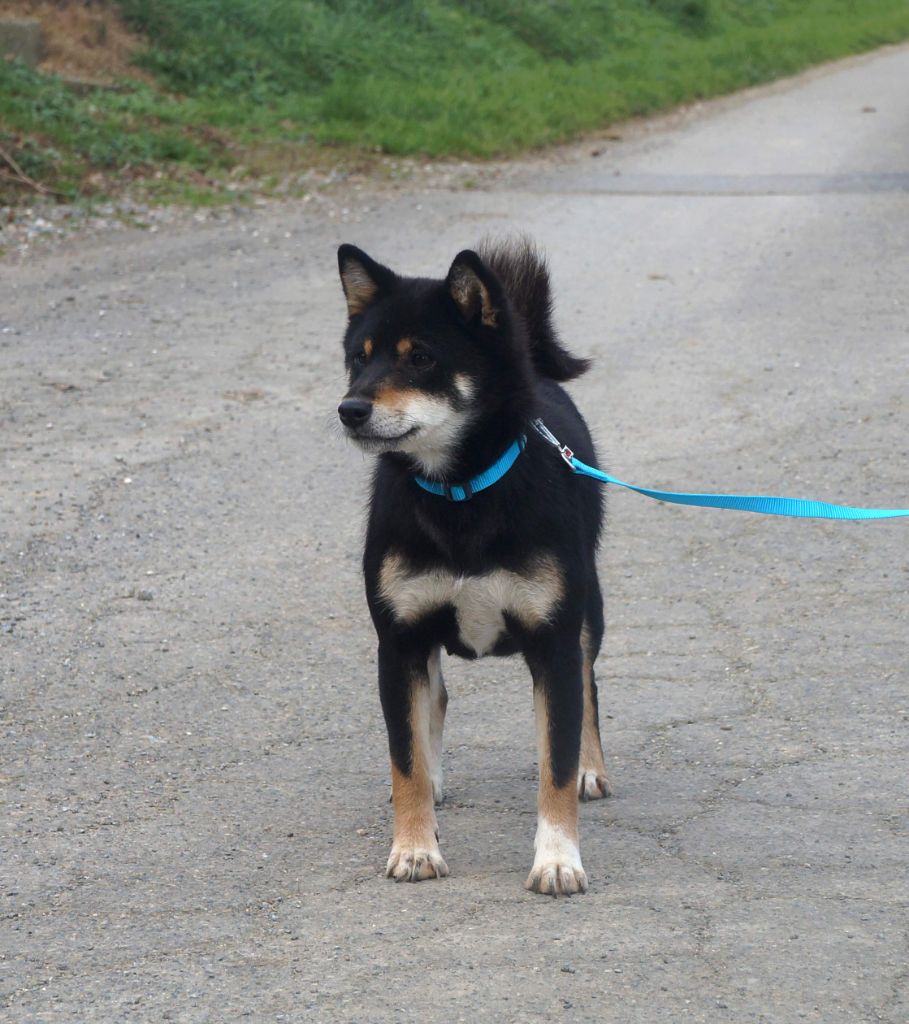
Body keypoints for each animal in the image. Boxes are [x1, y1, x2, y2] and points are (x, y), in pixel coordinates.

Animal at [335, 239, 610, 897]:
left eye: (422, 357)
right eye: (358, 359)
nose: (350, 409)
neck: (458, 493)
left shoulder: (554, 643)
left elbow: (555, 761)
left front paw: (558, 858)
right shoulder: (399, 641)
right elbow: (405, 754)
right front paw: (413, 846)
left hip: (590, 613)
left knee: (588, 687)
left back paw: (591, 768)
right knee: (433, 703)